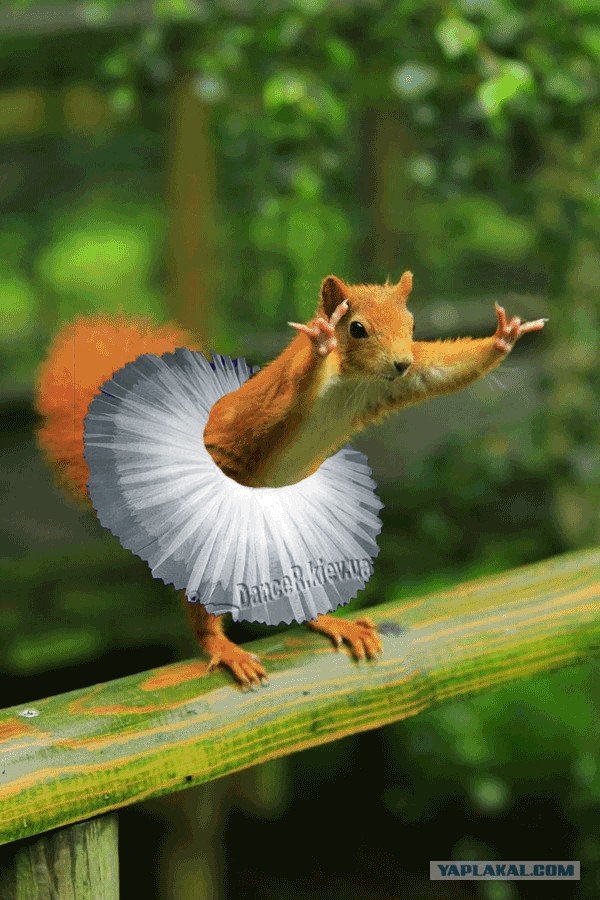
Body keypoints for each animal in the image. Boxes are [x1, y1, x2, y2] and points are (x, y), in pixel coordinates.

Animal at [35, 271, 547, 688]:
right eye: (355, 328)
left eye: (413, 324)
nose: (400, 361)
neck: (352, 381)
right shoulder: (281, 399)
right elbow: (289, 396)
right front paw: (321, 340)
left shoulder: (399, 382)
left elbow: (442, 371)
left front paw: (504, 336)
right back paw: (223, 647)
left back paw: (329, 619)